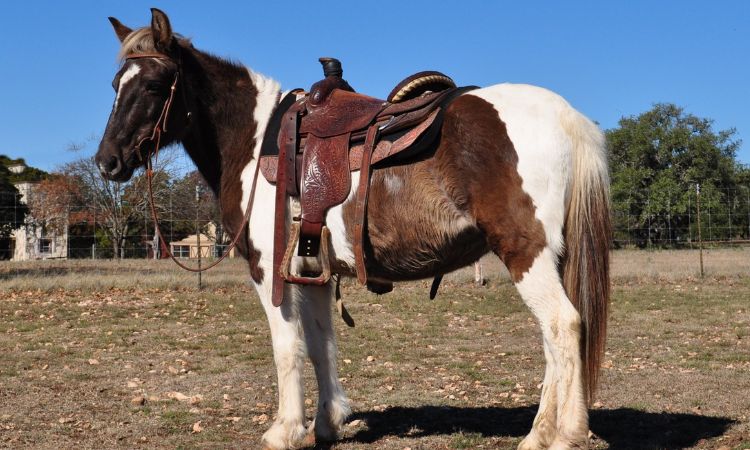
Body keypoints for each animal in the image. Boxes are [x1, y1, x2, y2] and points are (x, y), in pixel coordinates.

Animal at [95, 9, 610, 450]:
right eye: (116, 84)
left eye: (155, 84)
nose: (107, 162)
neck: (259, 142)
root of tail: (566, 116)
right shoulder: (313, 270)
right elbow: (322, 346)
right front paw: (327, 424)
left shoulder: (271, 271)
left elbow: (288, 348)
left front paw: (285, 429)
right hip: (550, 258)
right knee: (553, 340)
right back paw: (538, 434)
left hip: (526, 254)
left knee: (562, 326)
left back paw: (564, 434)